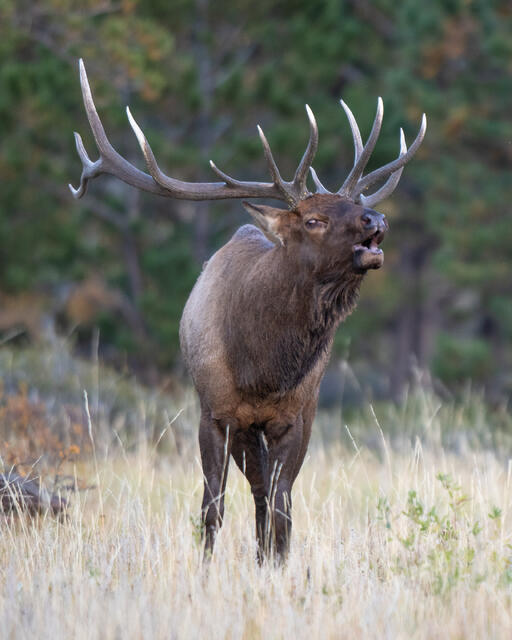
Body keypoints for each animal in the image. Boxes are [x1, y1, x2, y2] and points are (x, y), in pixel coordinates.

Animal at [70, 59, 426, 562]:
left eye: (355, 204)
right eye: (313, 220)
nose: (376, 220)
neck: (262, 367)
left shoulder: (294, 417)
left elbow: (281, 505)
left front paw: (278, 564)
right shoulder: (216, 412)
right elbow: (212, 506)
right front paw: (206, 567)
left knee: (266, 496)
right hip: (238, 425)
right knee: (251, 491)